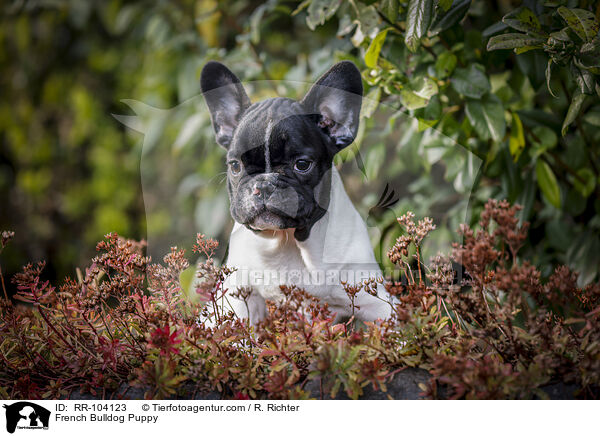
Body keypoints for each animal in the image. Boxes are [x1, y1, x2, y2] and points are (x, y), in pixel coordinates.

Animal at [199, 60, 392, 324]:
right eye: (235, 166)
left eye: (302, 164)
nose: (264, 184)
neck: (288, 242)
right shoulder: (239, 294)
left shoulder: (379, 303)